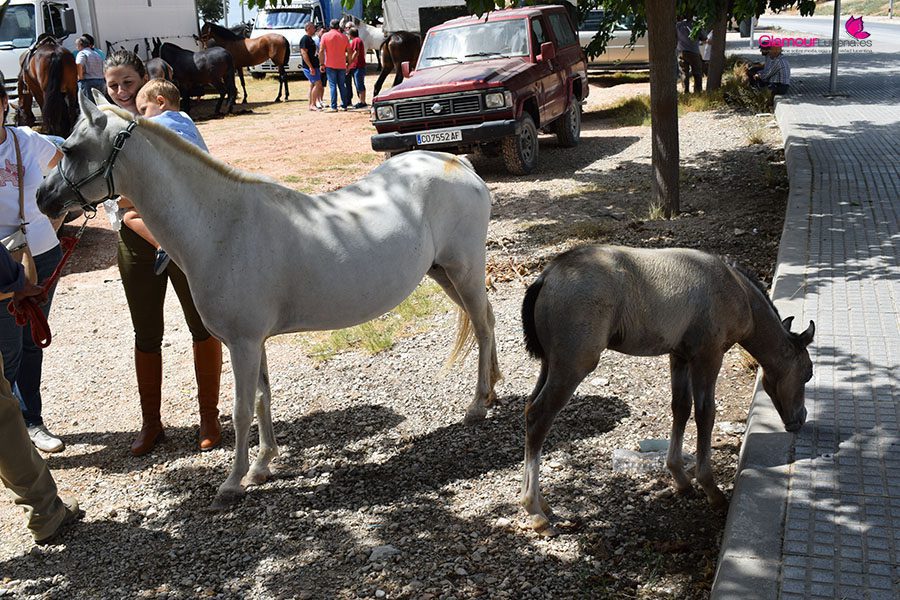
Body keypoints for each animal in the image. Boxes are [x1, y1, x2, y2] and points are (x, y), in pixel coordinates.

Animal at [37, 93, 501, 511]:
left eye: (70, 148)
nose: (44, 199)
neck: (221, 226)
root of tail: (458, 164)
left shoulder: (242, 342)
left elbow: (242, 409)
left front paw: (232, 483)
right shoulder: (252, 342)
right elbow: (263, 399)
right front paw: (262, 467)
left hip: (463, 270)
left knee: (482, 325)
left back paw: (477, 405)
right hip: (443, 273)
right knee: (486, 320)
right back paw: (493, 391)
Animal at [519, 245, 815, 536]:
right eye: (808, 373)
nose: (799, 419)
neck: (737, 289)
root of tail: (548, 275)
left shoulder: (679, 355)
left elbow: (681, 407)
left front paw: (681, 479)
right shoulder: (708, 356)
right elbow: (705, 414)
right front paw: (711, 489)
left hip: (550, 363)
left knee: (529, 409)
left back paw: (542, 502)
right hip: (573, 365)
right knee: (539, 416)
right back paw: (535, 512)